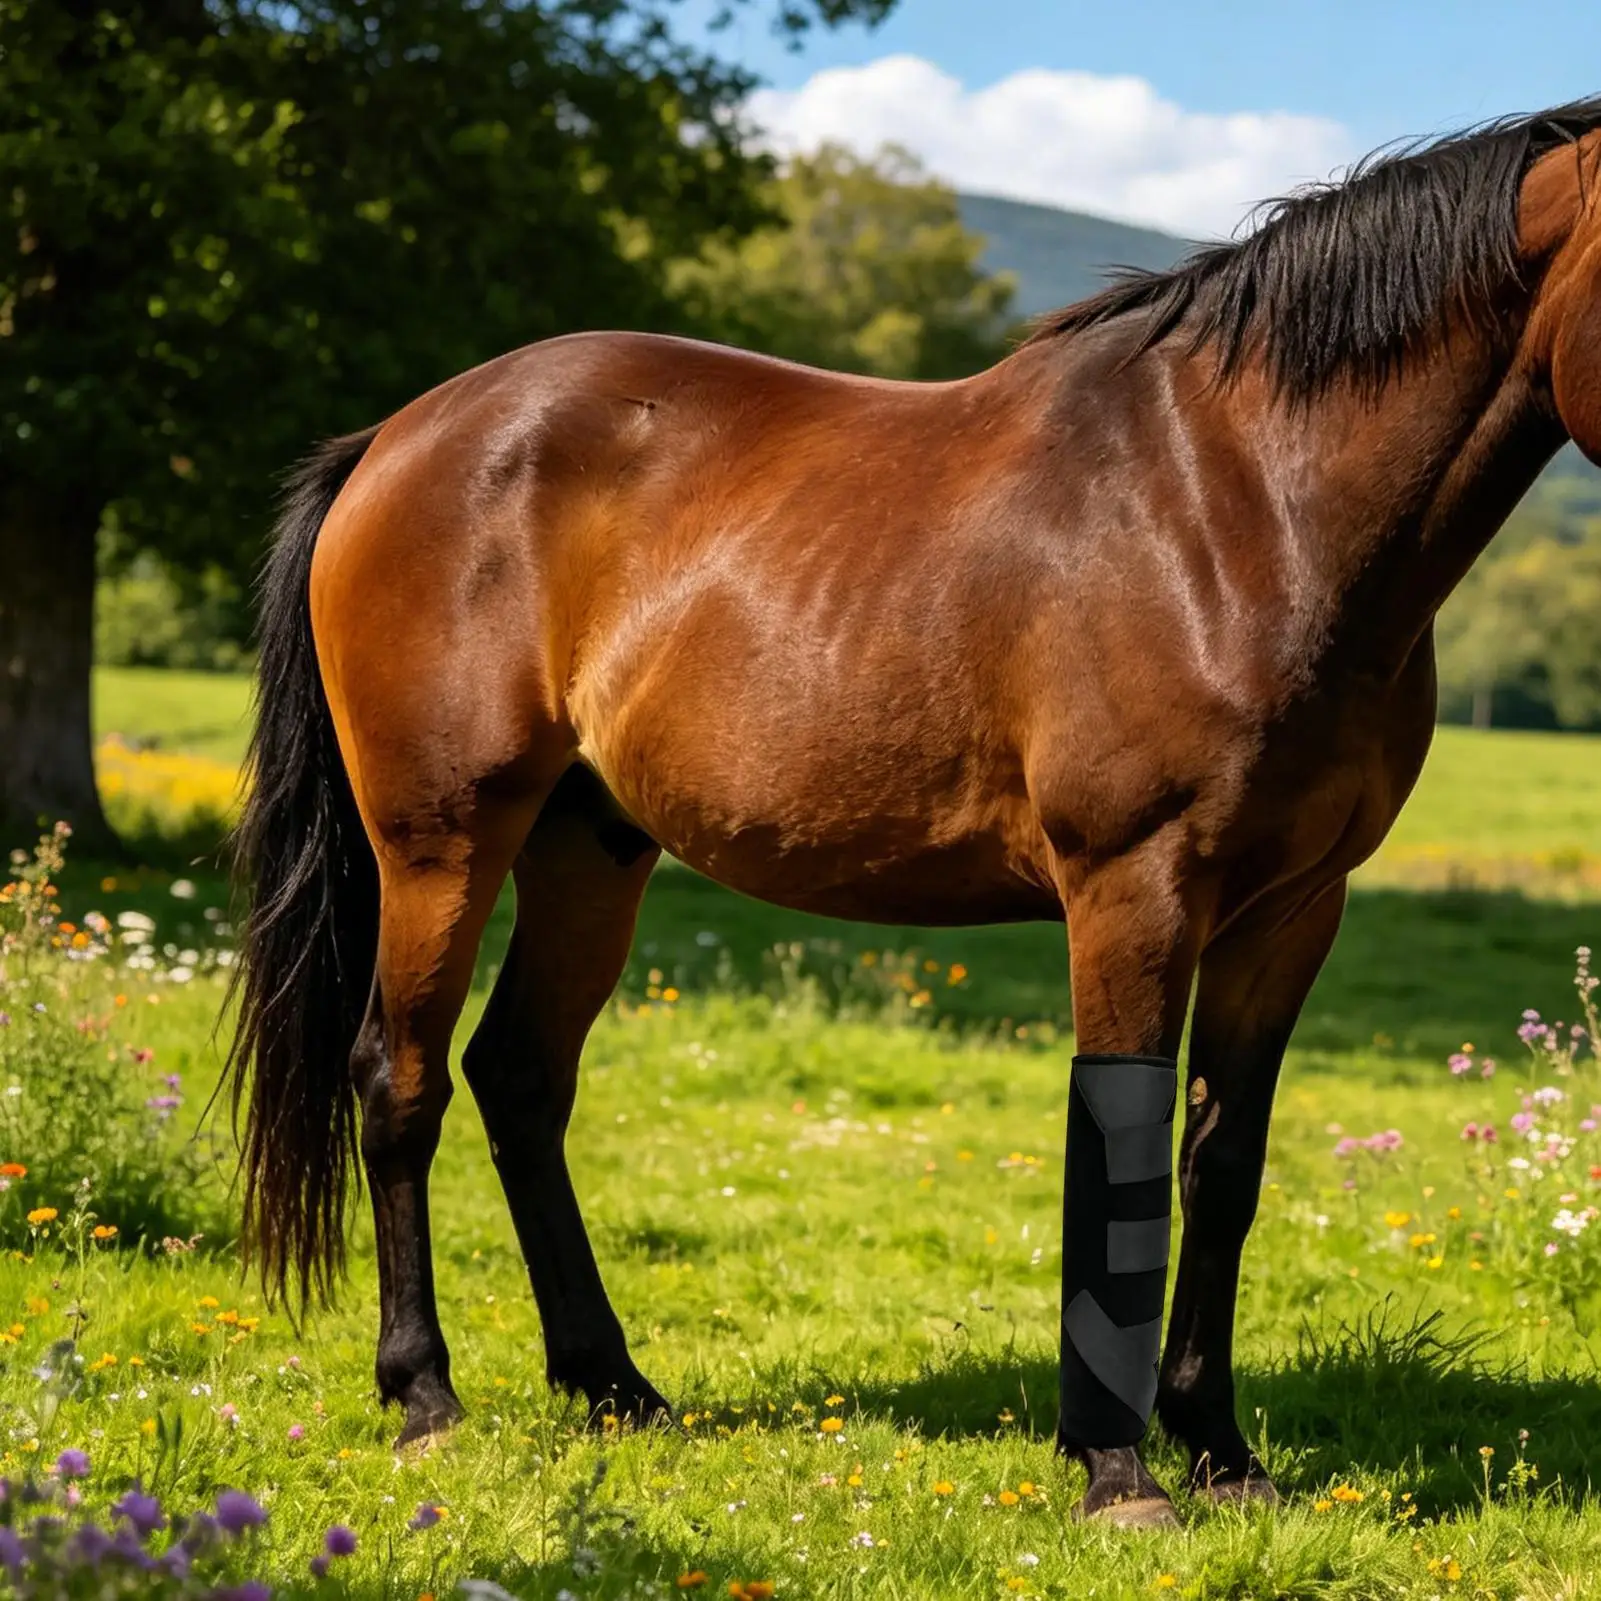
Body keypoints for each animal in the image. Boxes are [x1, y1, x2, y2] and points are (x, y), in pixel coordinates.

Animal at [226, 100, 1601, 1527]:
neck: (1245, 506)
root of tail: (394, 440)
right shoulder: (1134, 883)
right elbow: (1117, 1144)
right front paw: (1115, 1470)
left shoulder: (1290, 910)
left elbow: (1218, 1167)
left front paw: (1220, 1452)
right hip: (438, 842)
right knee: (400, 1077)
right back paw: (424, 1396)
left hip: (588, 844)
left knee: (520, 1076)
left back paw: (614, 1386)